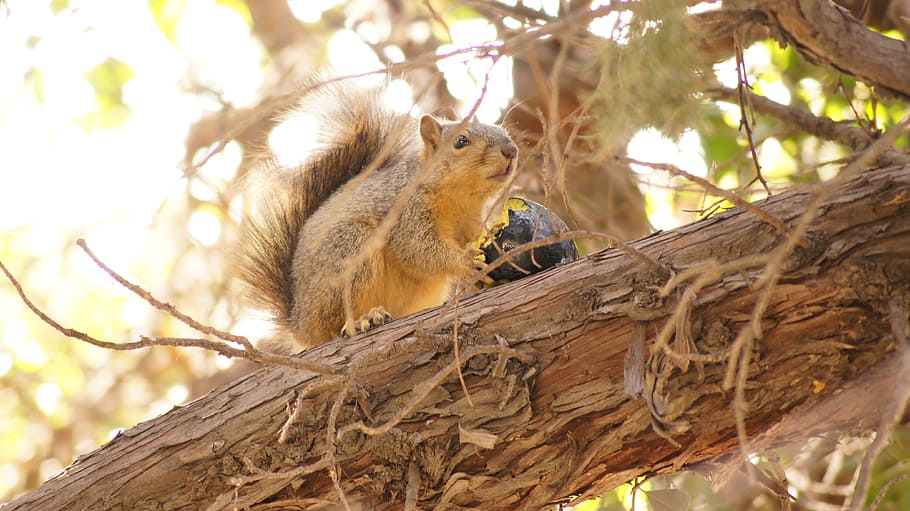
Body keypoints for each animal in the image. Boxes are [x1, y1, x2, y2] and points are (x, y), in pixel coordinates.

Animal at [236, 82, 518, 352]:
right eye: (460, 141)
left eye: (502, 131)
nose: (511, 150)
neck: (461, 199)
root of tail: (299, 324)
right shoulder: (405, 212)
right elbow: (417, 249)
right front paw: (464, 261)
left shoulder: (470, 223)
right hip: (349, 251)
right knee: (332, 326)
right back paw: (363, 320)